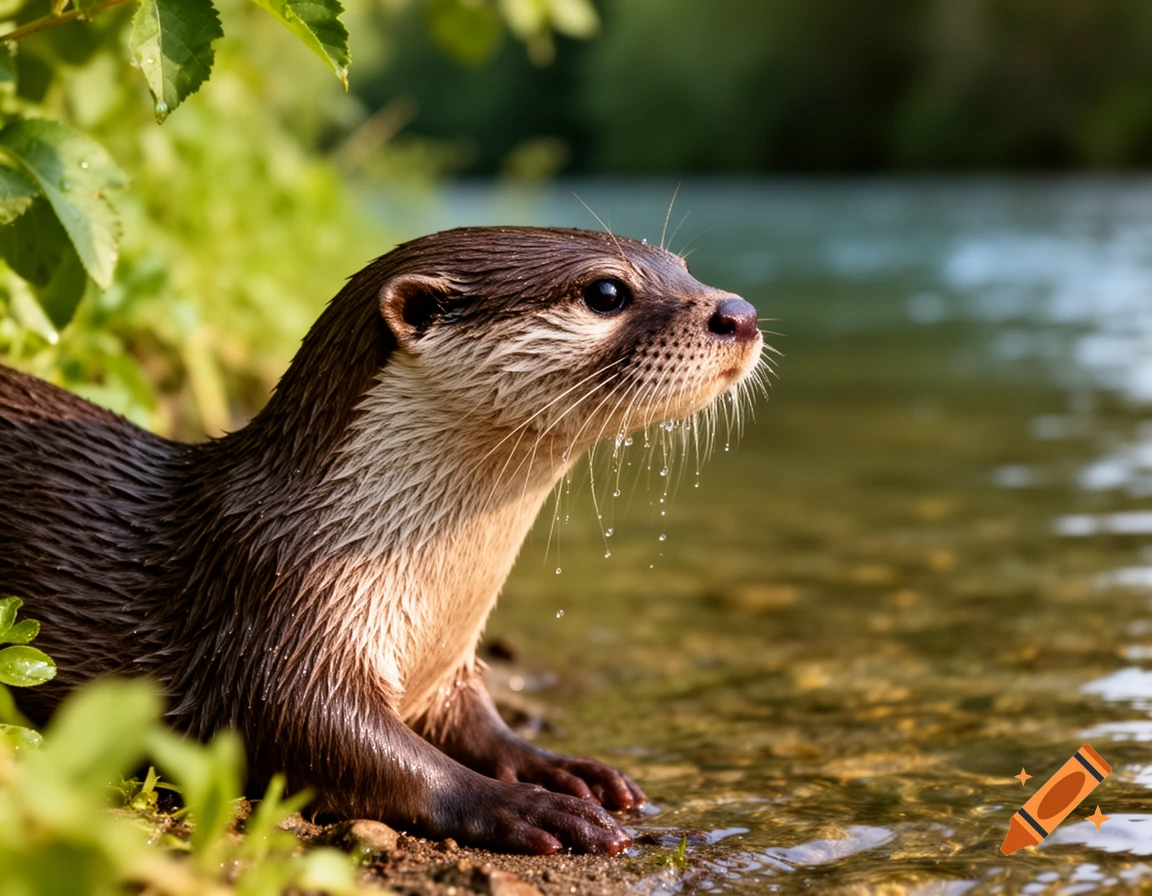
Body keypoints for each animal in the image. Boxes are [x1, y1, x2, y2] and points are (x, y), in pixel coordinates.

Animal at [0, 226, 763, 855]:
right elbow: (328, 738)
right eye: (607, 291)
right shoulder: (274, 606)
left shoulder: (449, 664)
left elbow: (482, 727)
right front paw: (526, 806)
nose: (740, 312)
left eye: (683, 267)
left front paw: (565, 769)